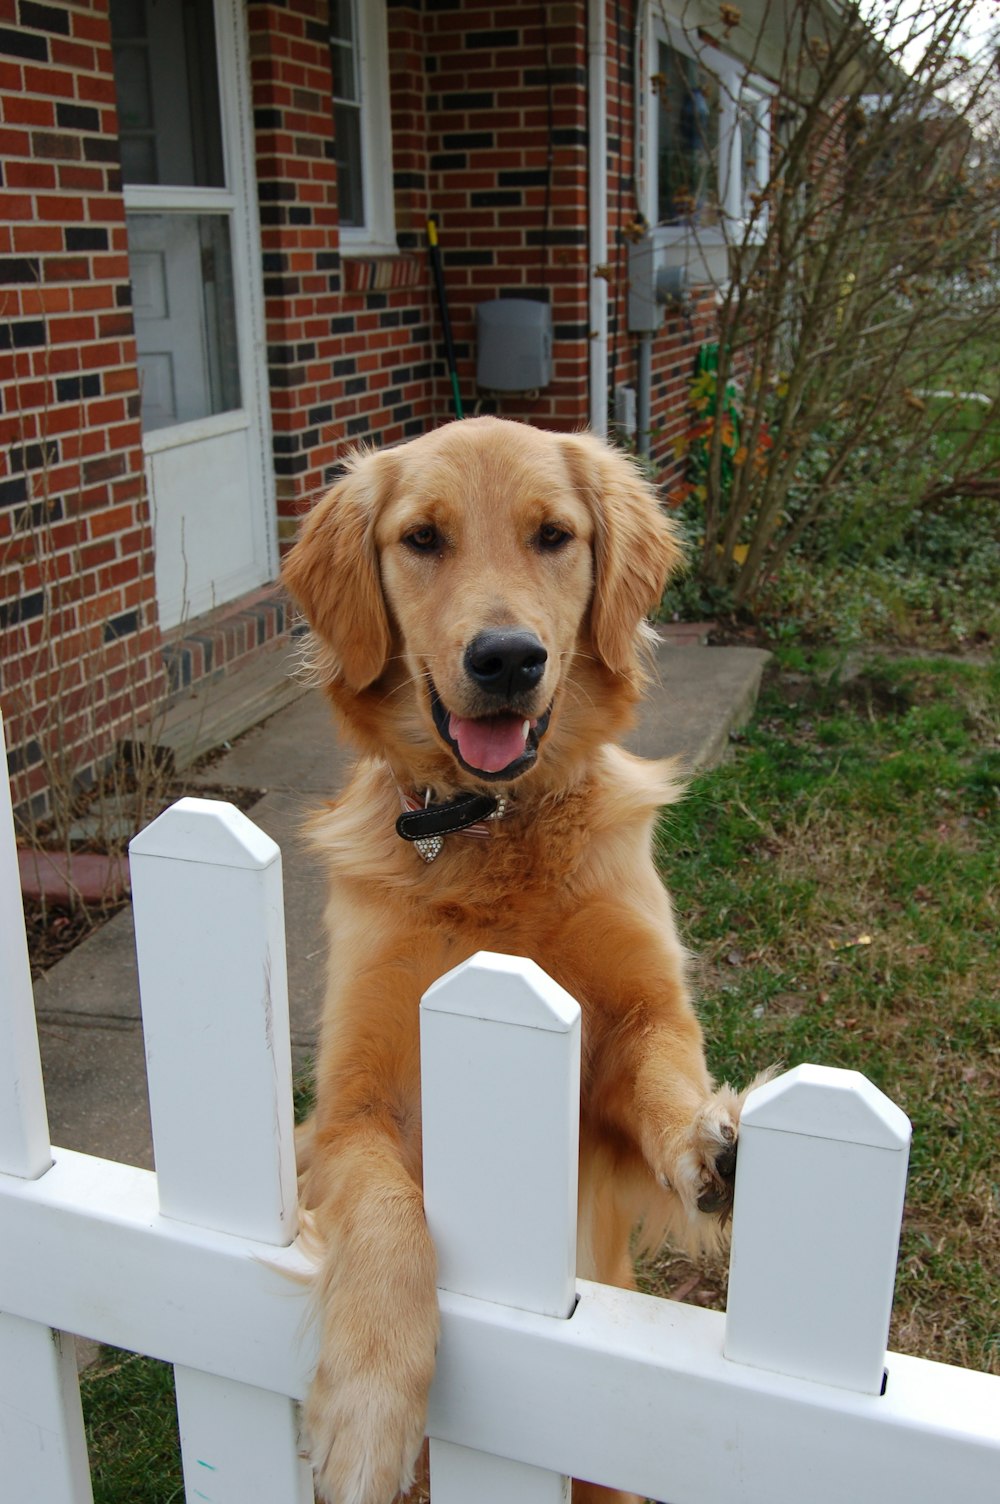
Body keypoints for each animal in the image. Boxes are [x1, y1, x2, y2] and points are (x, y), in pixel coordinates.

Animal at [288, 415, 757, 1504]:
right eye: (422, 538)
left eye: (554, 535)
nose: (505, 658)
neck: (496, 825)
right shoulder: (347, 1110)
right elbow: (389, 1217)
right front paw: (368, 1417)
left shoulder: (633, 1028)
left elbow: (666, 1070)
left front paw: (710, 1140)